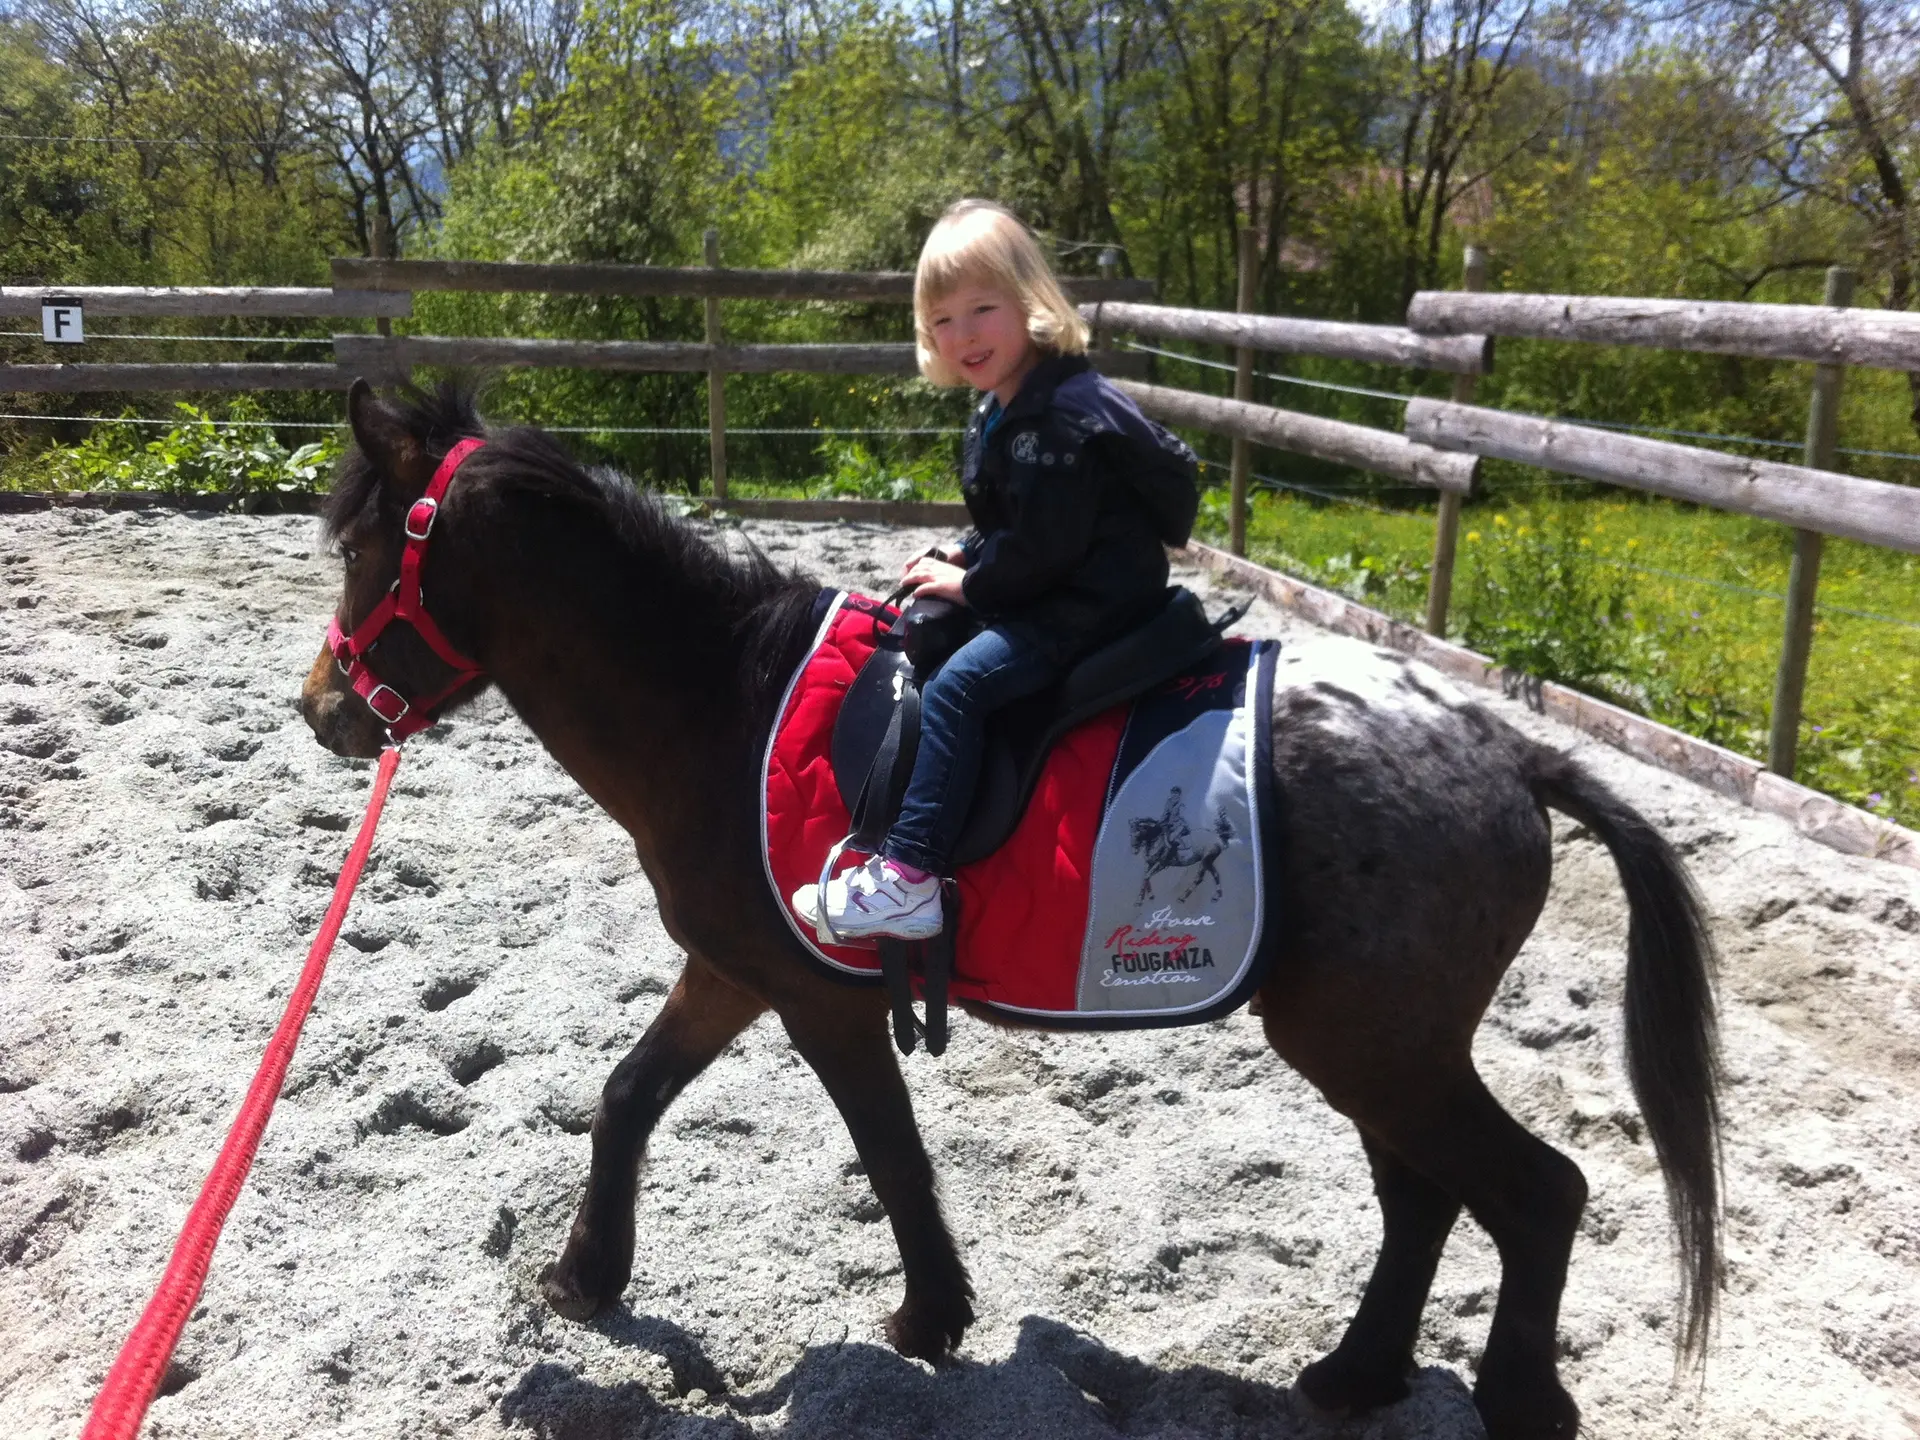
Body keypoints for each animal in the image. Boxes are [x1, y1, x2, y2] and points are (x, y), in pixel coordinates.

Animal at [299, 381, 1722, 1440]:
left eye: (365, 551)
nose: (321, 710)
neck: (722, 707)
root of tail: (1507, 750)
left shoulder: (815, 996)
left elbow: (889, 1153)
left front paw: (928, 1319)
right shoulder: (736, 970)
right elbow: (629, 1095)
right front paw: (589, 1274)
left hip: (1376, 1046)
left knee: (1536, 1194)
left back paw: (1515, 1399)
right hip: (1380, 1047)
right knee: (1427, 1198)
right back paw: (1357, 1377)